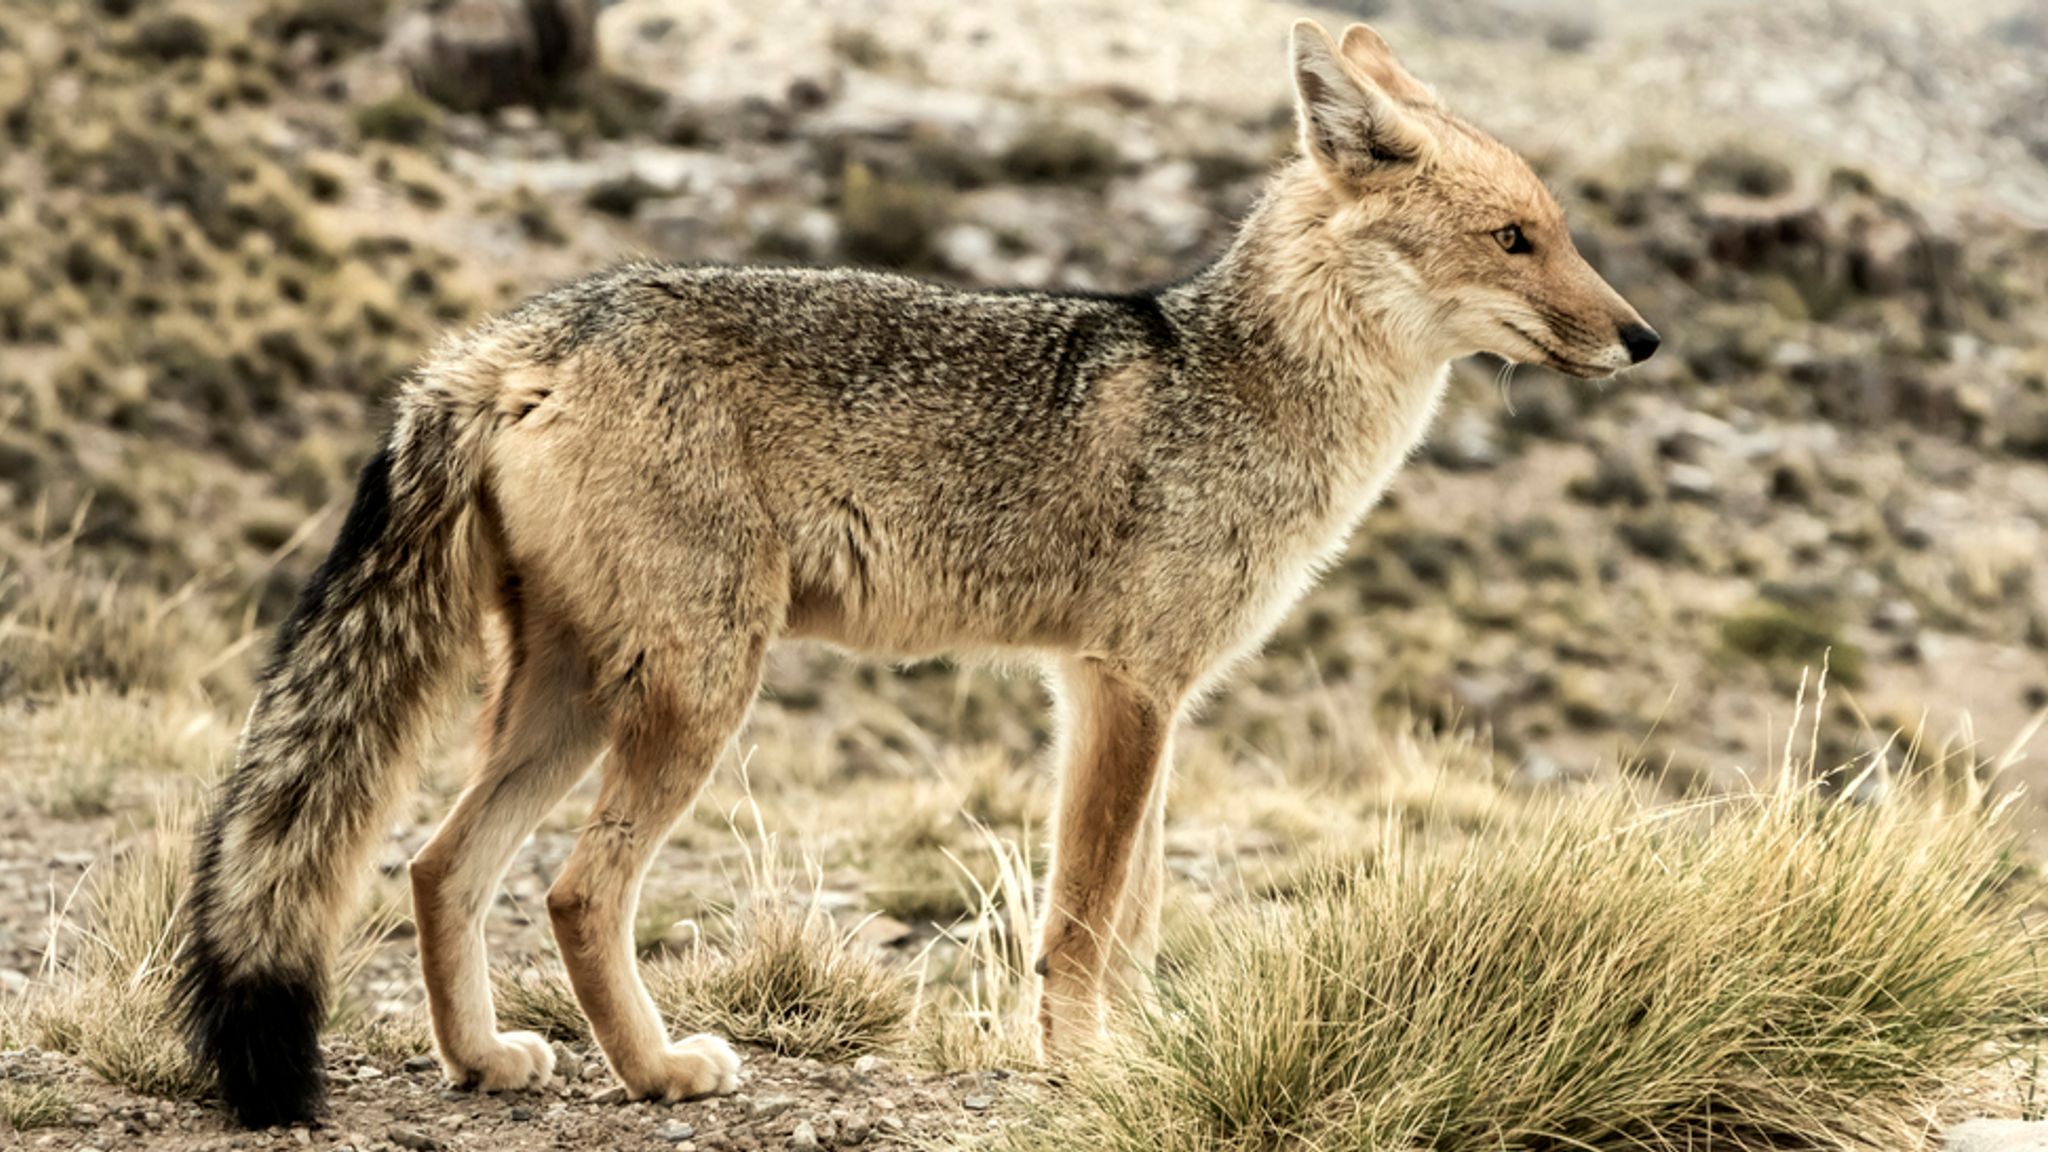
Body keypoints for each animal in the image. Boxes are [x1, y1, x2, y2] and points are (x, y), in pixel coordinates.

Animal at [167, 17, 1654, 1123]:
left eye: (1564, 228)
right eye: (1517, 239)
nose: (1642, 339)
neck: (1248, 384)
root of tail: (522, 334)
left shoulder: (1143, 697)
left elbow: (1133, 914)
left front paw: (1131, 1055)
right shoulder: (1123, 688)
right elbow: (1085, 916)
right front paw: (1086, 1071)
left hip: (576, 692)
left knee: (436, 864)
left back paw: (484, 1061)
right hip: (696, 694)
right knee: (578, 891)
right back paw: (659, 1072)